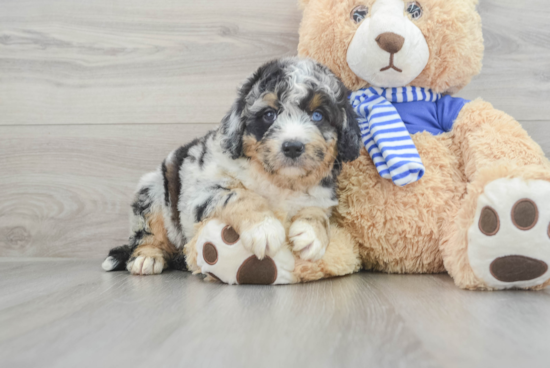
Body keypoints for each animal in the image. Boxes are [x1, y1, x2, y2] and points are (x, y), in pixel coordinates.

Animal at [102, 57, 364, 276]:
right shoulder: (200, 195)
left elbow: (318, 212)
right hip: (153, 192)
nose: (292, 146)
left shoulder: (323, 197)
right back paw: (146, 258)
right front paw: (265, 228)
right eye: (269, 115)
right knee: (148, 234)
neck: (280, 181)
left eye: (318, 115)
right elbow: (240, 195)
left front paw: (312, 235)